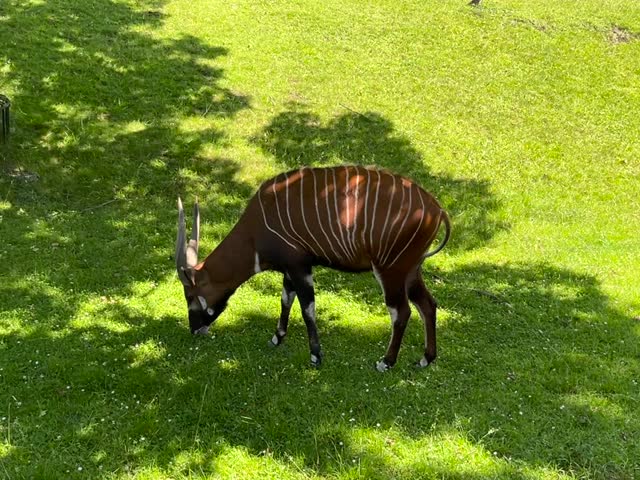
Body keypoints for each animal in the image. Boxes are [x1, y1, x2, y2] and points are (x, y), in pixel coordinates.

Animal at [175, 165, 451, 371]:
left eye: (189, 296)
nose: (194, 329)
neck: (255, 231)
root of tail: (438, 210)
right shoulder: (289, 270)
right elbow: (286, 299)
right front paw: (277, 338)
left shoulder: (300, 266)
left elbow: (307, 309)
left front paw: (316, 356)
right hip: (411, 270)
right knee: (428, 304)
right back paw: (425, 359)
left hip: (390, 269)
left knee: (401, 311)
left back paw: (386, 362)